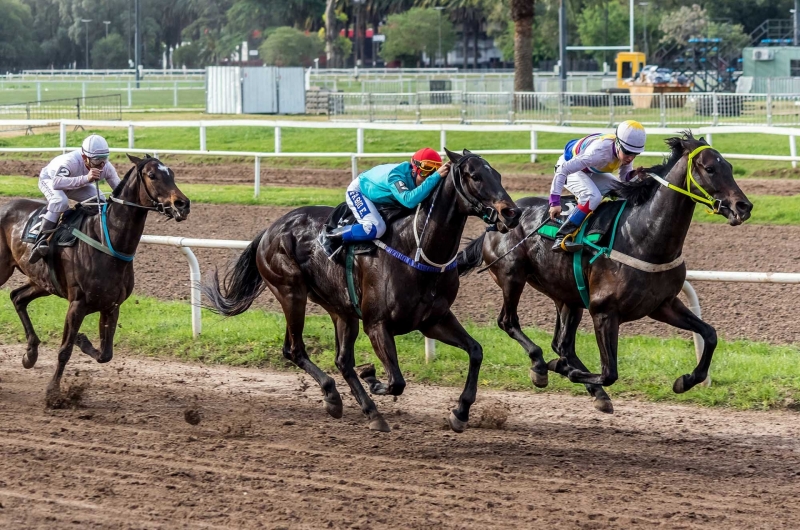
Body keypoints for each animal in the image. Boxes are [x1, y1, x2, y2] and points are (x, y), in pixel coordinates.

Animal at [0, 155, 189, 402]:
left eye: (172, 174)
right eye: (152, 175)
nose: (183, 204)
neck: (107, 240)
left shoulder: (111, 306)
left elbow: (106, 354)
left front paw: (82, 340)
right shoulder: (77, 304)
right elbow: (64, 351)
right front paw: (53, 393)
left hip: (42, 282)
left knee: (17, 297)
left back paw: (30, 354)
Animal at [203, 147, 520, 428]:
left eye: (498, 174)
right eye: (475, 176)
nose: (512, 213)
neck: (417, 250)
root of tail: (270, 230)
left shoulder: (434, 320)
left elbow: (476, 351)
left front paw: (461, 412)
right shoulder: (377, 324)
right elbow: (396, 381)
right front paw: (372, 377)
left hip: (340, 308)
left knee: (340, 360)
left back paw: (367, 410)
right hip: (291, 293)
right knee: (295, 349)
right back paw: (335, 396)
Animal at [460, 133, 752, 412]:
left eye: (729, 166)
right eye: (710, 168)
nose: (743, 206)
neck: (642, 236)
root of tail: (497, 222)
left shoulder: (663, 304)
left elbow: (710, 335)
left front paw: (685, 380)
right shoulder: (603, 311)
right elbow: (609, 372)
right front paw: (561, 368)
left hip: (567, 295)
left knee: (562, 344)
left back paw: (589, 388)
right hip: (513, 277)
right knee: (509, 322)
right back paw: (542, 366)